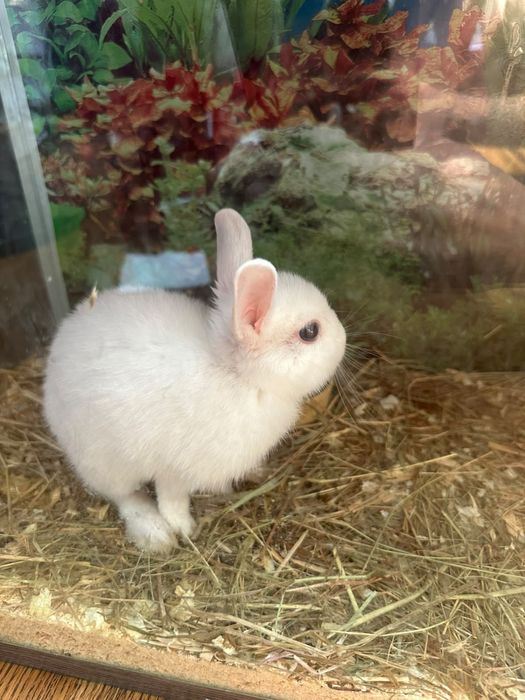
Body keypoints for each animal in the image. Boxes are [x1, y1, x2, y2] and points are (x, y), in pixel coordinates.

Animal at [43, 209, 346, 552]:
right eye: (310, 332)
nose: (345, 338)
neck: (233, 374)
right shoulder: (174, 470)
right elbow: (172, 499)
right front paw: (185, 528)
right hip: (103, 461)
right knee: (125, 496)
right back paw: (155, 534)